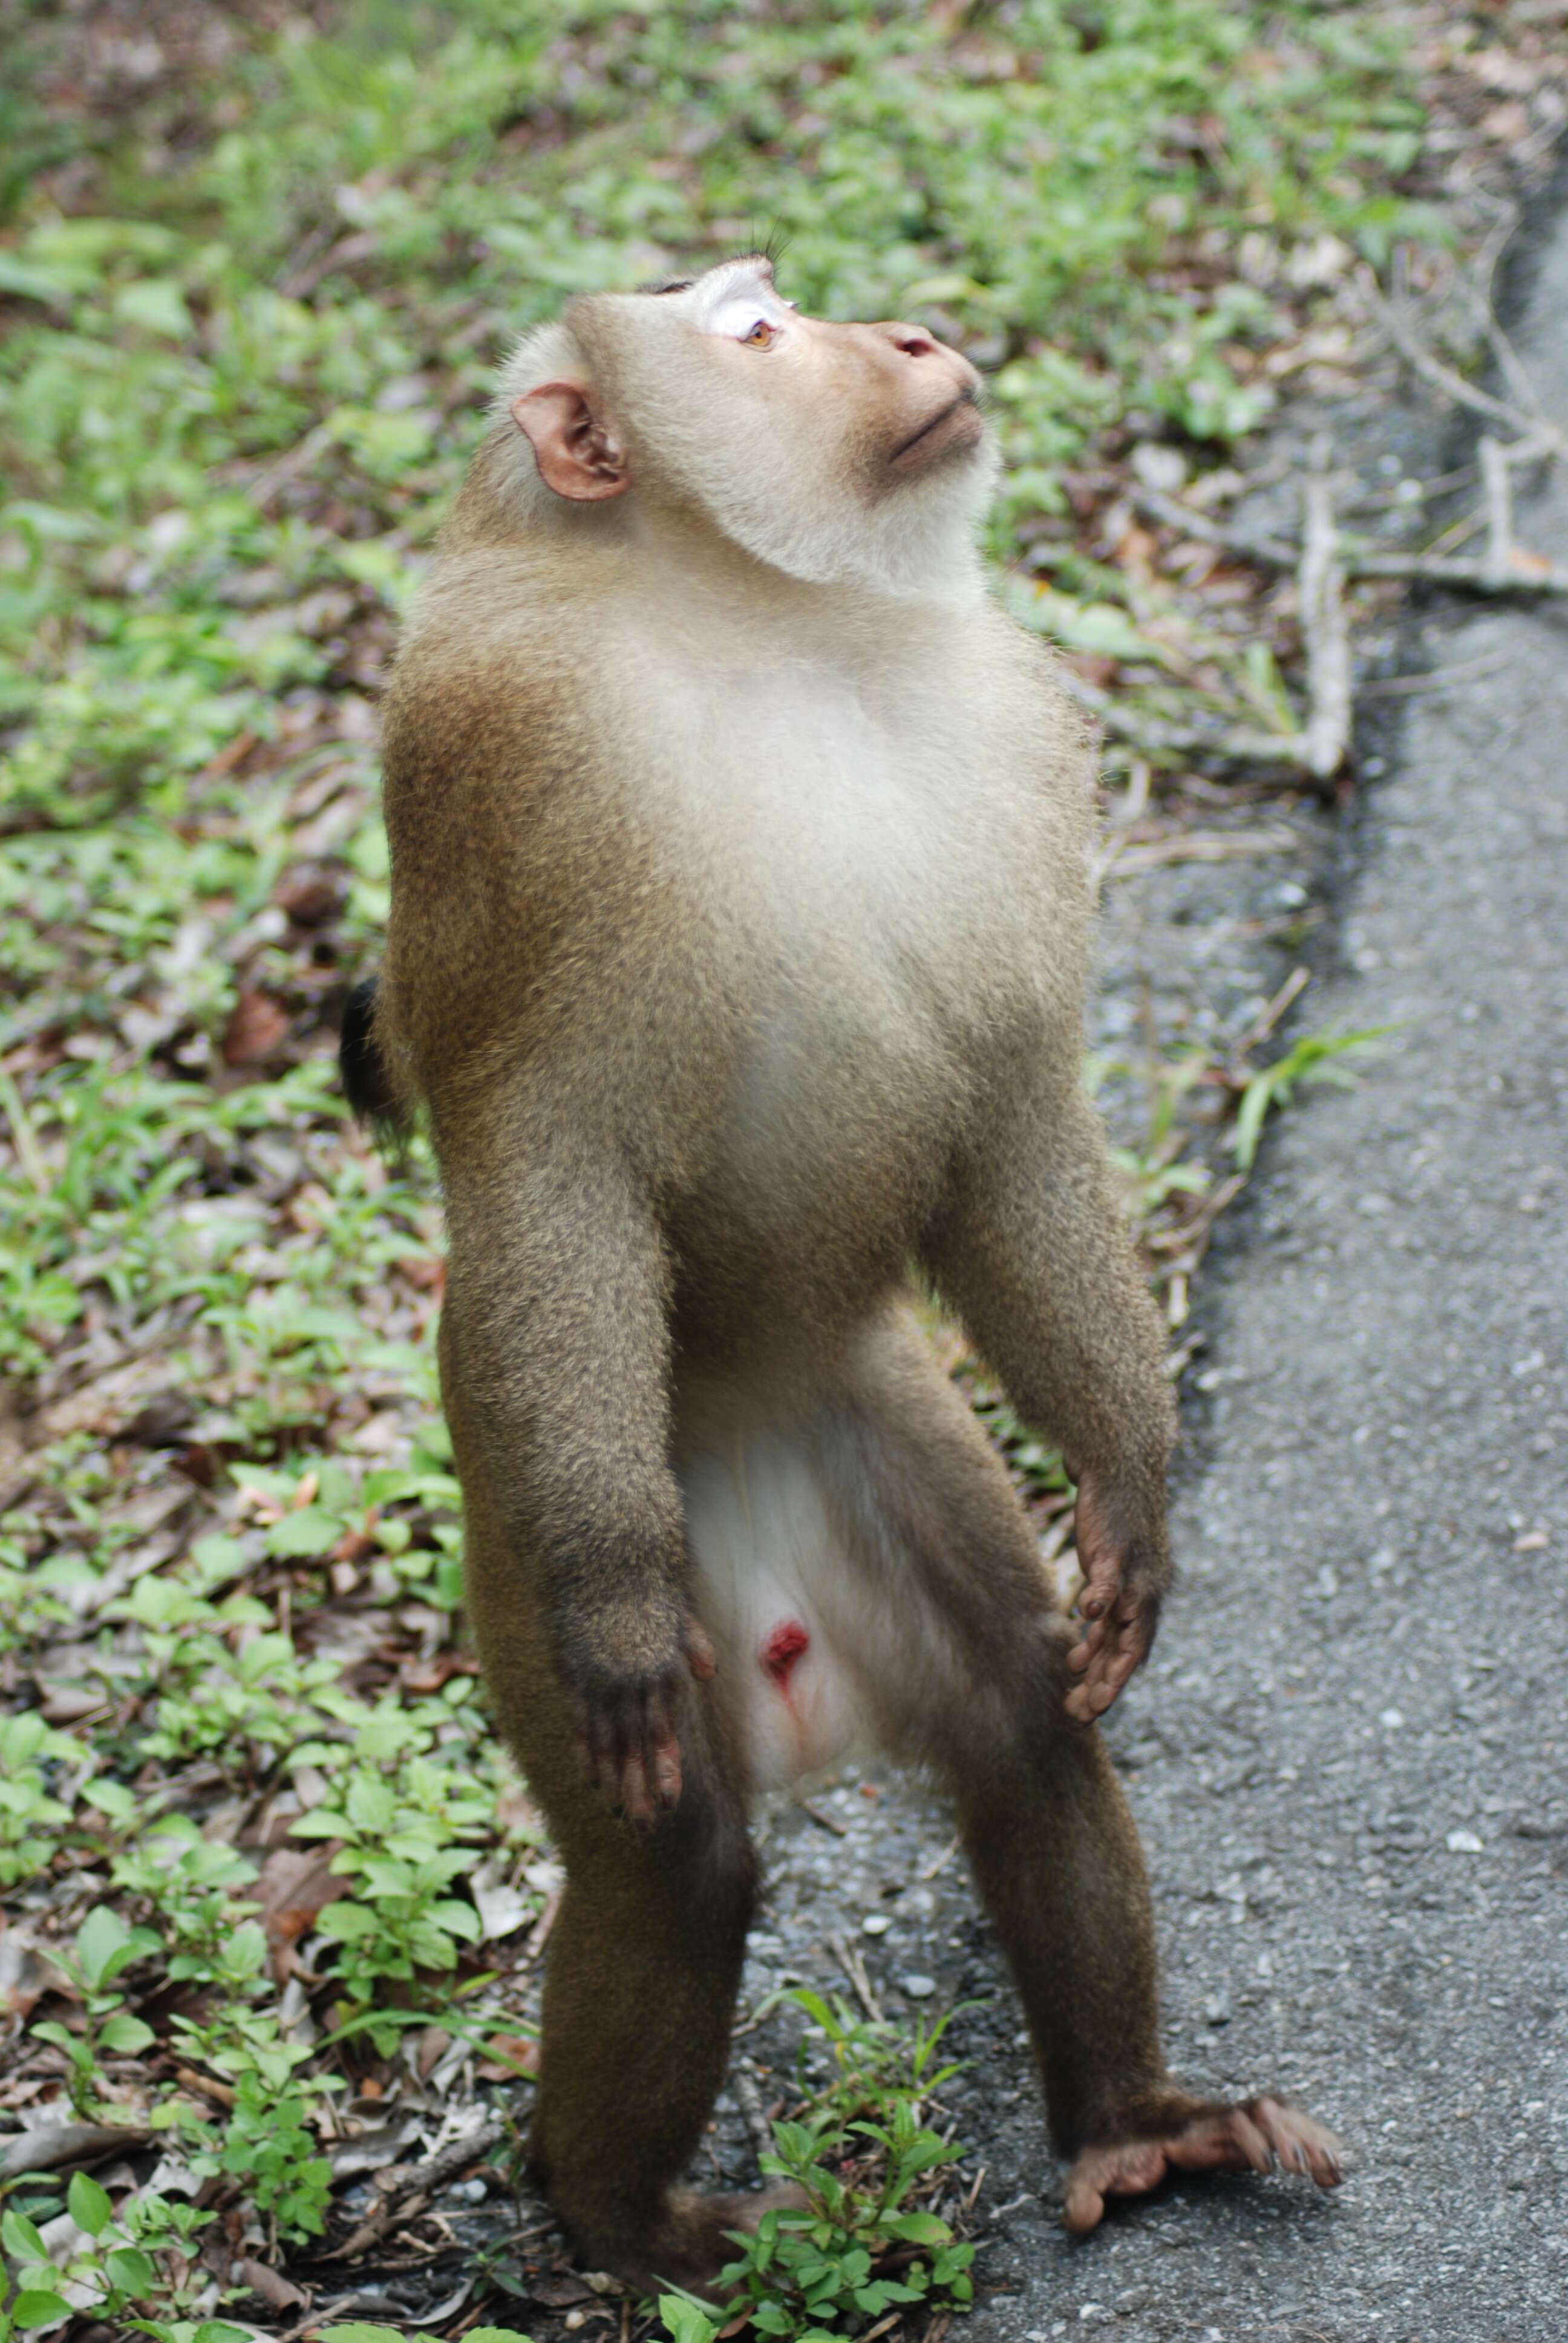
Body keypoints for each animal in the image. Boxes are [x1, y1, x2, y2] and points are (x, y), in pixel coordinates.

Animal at [349, 256, 1341, 2287]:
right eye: (746, 331)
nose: (905, 341)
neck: (762, 631)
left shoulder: (1006, 736)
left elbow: (1015, 1112)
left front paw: (1133, 1485)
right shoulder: (508, 760)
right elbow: (546, 1168)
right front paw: (623, 1612)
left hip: (880, 1431)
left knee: (1024, 1724)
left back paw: (1130, 2124)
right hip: (520, 1545)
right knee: (675, 1861)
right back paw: (620, 2217)